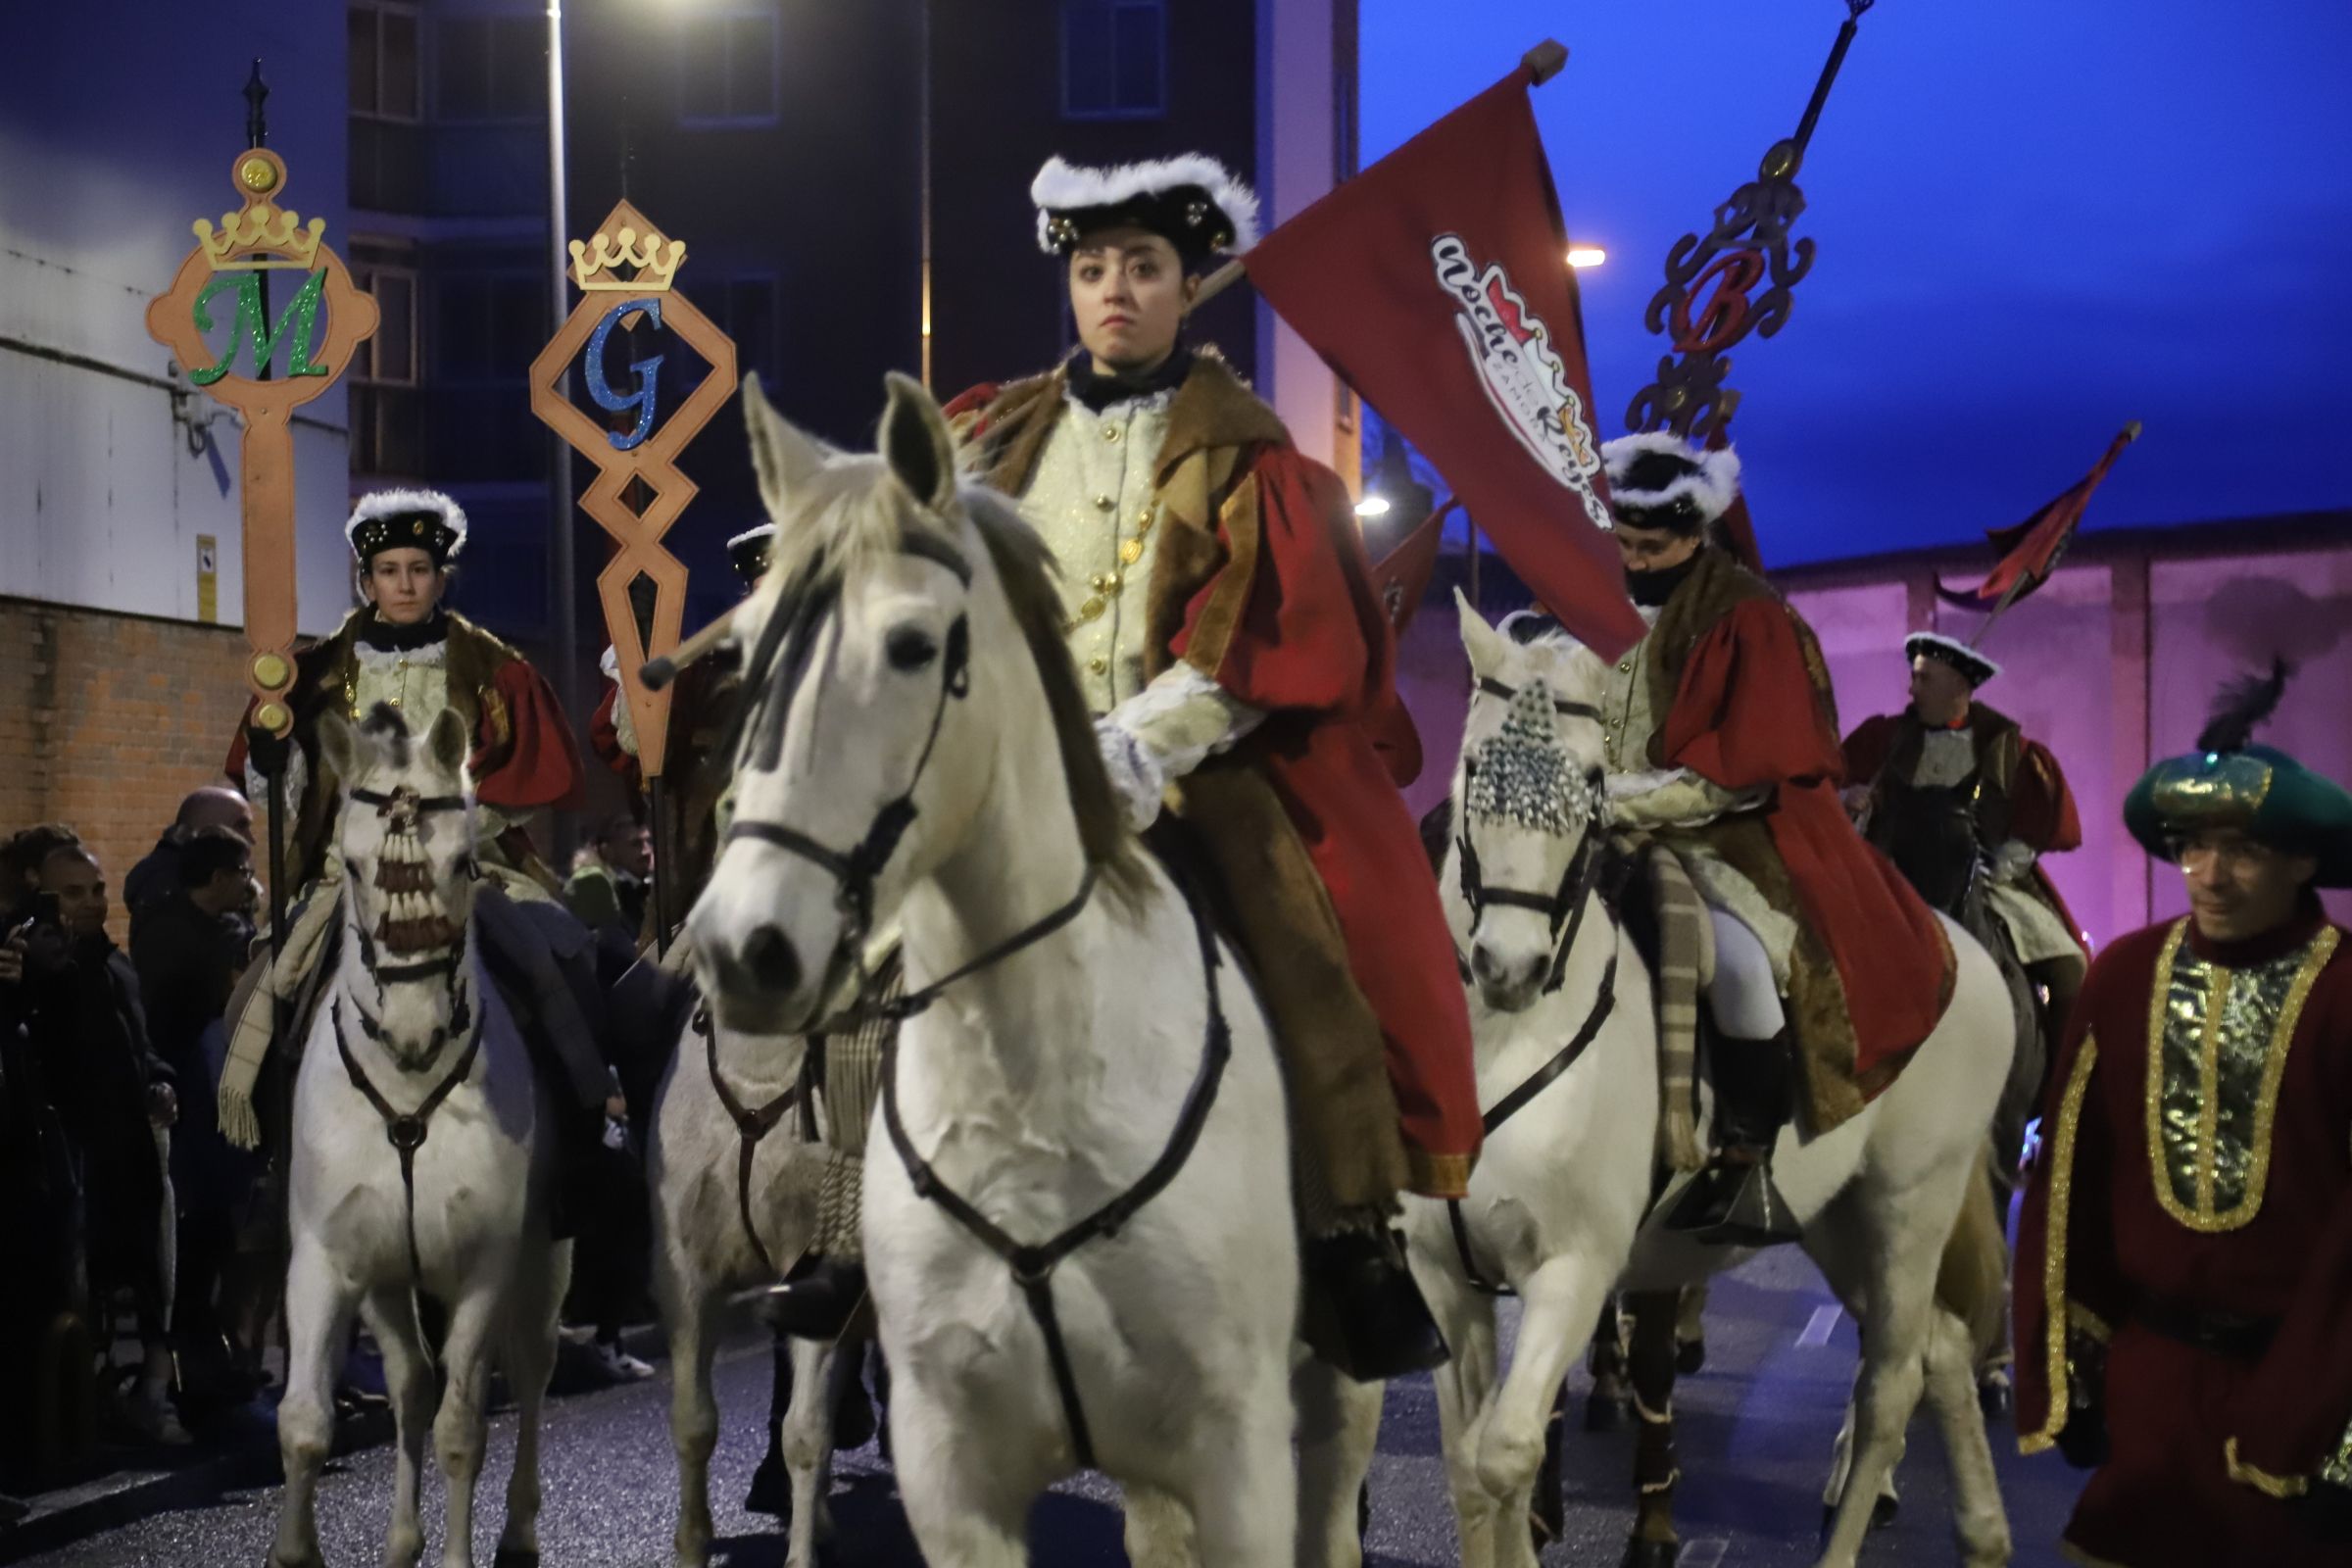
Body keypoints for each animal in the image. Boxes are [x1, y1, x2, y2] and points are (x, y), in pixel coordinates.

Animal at [269, 710, 564, 1568]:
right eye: (353, 865)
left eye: (464, 862)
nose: (413, 1029)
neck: (404, 1092)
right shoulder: (328, 1260)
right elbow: (305, 1422)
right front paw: (297, 1549)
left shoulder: (485, 1266)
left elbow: (462, 1429)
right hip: (390, 1285)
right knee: (410, 1384)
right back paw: (402, 1541)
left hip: (543, 1257)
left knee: (531, 1369)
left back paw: (519, 1534)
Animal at [686, 375, 1373, 1568]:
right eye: (746, 649)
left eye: (915, 646)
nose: (745, 948)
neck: (1035, 1093)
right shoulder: (952, 1470)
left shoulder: (1237, 1455)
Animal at [1383, 602, 2013, 1568]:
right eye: (1476, 764)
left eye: (1594, 778)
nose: (1508, 967)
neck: (1505, 1043)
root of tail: (1962, 955)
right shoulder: (1446, 1280)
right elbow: (1467, 1472)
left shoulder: (1573, 1270)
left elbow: (1506, 1455)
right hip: (1839, 1221)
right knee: (1942, 1349)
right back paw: (1985, 1535)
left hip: (1911, 1205)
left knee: (1892, 1382)